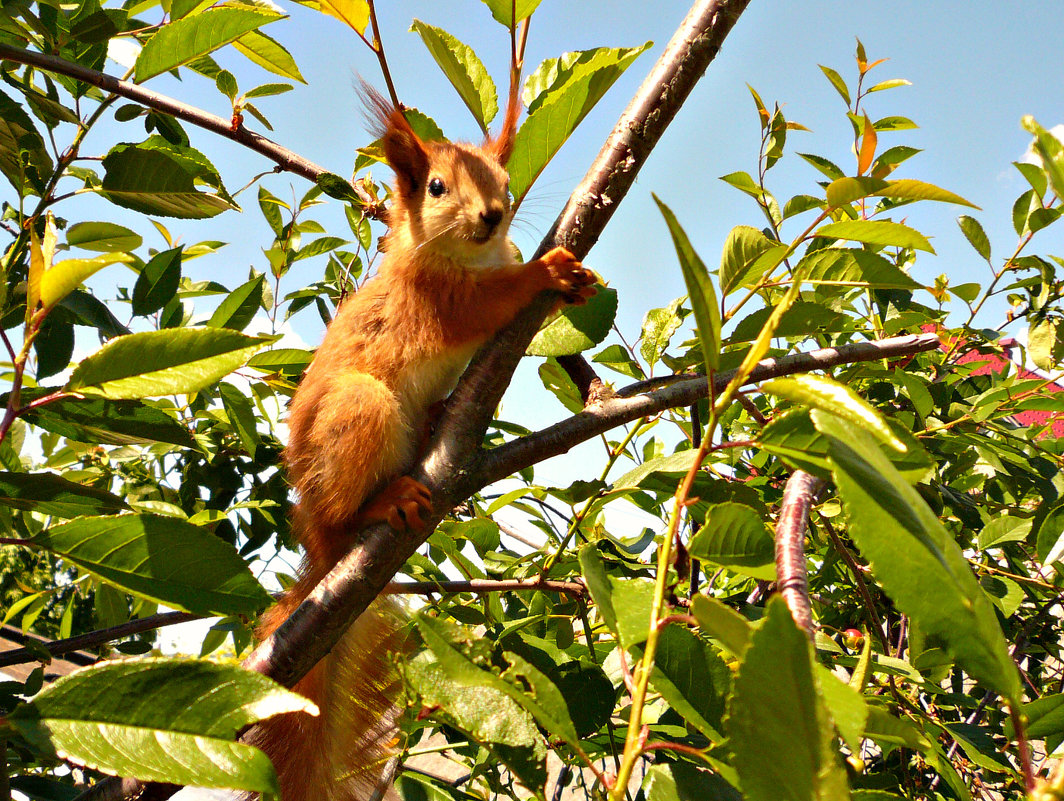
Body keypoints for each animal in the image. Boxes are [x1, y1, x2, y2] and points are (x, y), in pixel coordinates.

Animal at [244, 79, 604, 799]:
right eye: (437, 186)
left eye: (505, 181)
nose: (493, 215)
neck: (468, 254)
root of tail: (318, 551)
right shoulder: (436, 300)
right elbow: (484, 303)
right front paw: (546, 275)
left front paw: (573, 280)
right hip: (362, 411)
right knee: (344, 509)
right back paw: (382, 504)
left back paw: (439, 422)